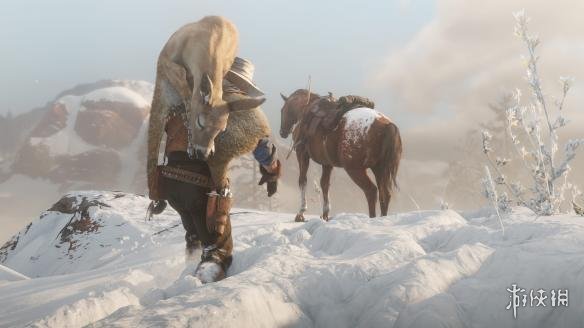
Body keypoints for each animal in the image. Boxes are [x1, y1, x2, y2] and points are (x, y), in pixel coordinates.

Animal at [280, 89, 402, 220]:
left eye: (282, 110)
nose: (282, 132)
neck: (305, 109)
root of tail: (387, 126)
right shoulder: (327, 163)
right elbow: (325, 184)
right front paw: (325, 214)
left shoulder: (302, 154)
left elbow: (303, 181)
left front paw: (301, 212)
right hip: (380, 169)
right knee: (385, 194)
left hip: (355, 170)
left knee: (371, 191)